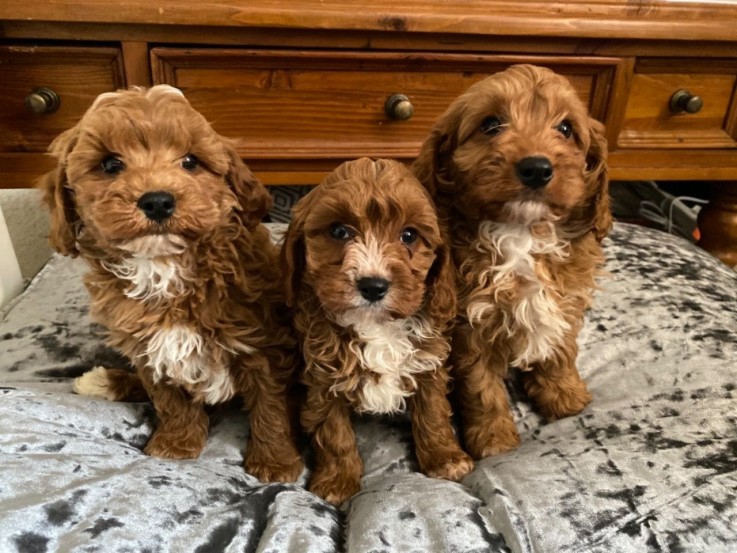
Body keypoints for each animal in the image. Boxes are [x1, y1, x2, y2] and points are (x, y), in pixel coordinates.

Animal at [39, 86, 304, 484]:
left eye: (191, 162)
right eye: (110, 165)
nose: (158, 201)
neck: (163, 268)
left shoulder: (262, 343)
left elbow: (269, 404)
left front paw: (275, 462)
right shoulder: (147, 345)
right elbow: (168, 398)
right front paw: (177, 443)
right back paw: (105, 381)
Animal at [278, 156, 474, 504]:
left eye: (409, 235)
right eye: (338, 231)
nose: (373, 285)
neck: (377, 325)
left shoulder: (428, 362)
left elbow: (434, 411)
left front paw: (445, 458)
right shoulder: (323, 377)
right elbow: (333, 431)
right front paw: (337, 481)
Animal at [414, 64, 608, 460]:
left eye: (566, 129)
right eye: (490, 125)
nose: (536, 168)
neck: (522, 233)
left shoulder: (566, 300)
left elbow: (561, 349)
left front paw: (564, 395)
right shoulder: (469, 326)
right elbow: (481, 386)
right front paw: (494, 439)